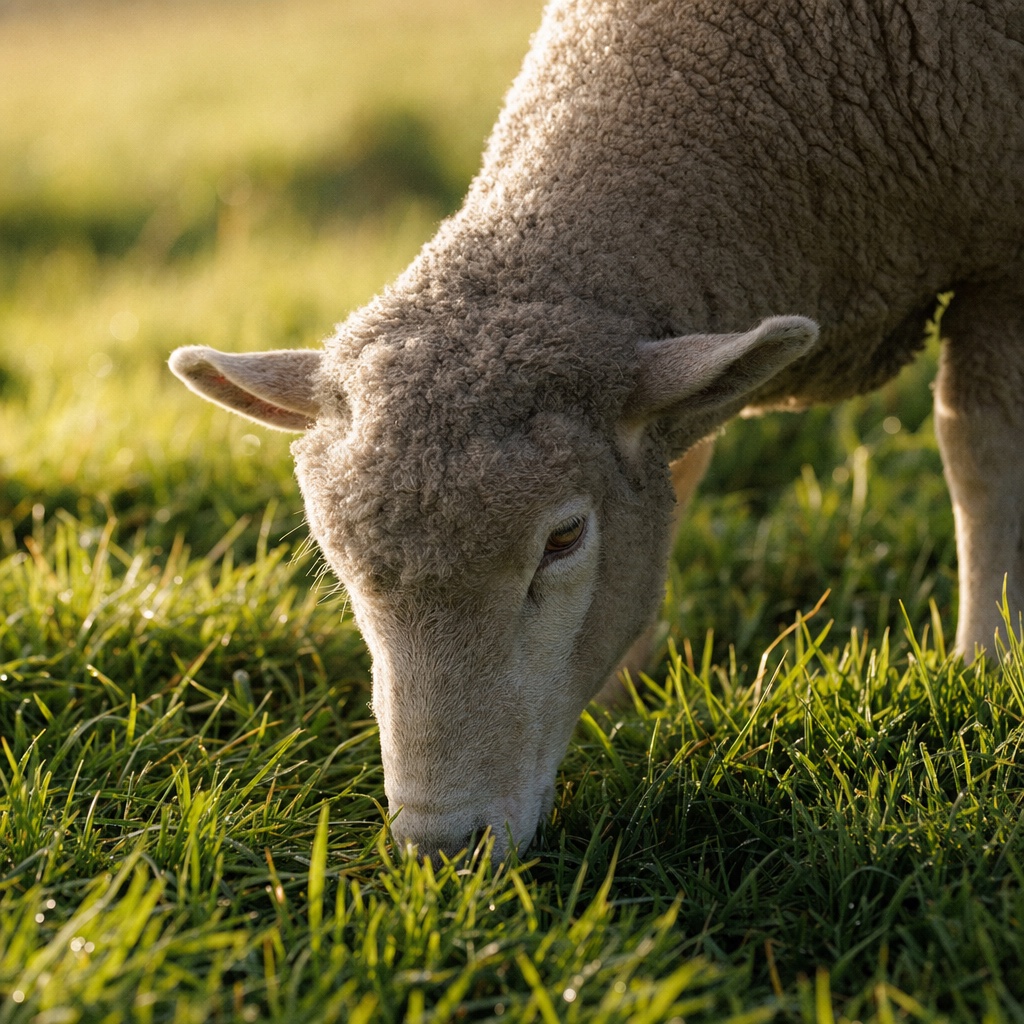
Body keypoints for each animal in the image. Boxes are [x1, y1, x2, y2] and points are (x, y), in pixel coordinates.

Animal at [170, 0, 1024, 860]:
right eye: (334, 558)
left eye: (565, 538)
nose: (442, 846)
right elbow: (679, 466)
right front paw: (620, 696)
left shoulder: (1004, 263)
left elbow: (982, 448)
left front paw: (986, 664)